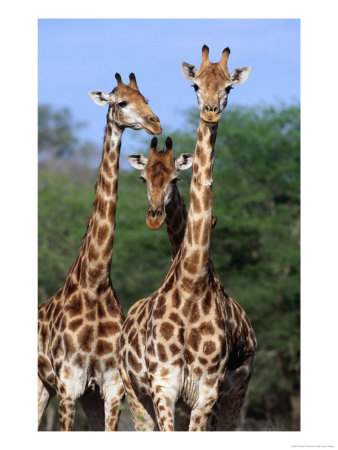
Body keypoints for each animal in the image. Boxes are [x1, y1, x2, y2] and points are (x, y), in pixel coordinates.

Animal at [37, 72, 162, 430]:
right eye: (121, 102)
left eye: (147, 98)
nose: (155, 123)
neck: (95, 282)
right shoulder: (67, 385)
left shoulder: (110, 386)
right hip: (39, 385)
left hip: (86, 397)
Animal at [119, 46, 256, 432]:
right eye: (195, 84)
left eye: (229, 87)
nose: (210, 111)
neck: (193, 281)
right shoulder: (163, 387)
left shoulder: (207, 393)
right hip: (134, 394)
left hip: (232, 399)